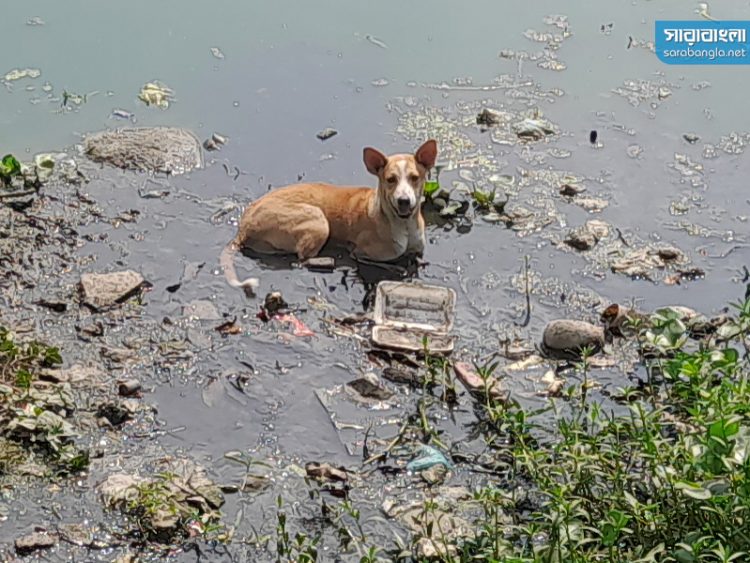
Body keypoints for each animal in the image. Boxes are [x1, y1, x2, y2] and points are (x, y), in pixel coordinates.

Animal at [220, 140, 438, 296]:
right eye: (390, 179)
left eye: (414, 178)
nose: (404, 201)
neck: (403, 224)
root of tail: (243, 228)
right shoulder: (360, 252)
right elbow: (381, 261)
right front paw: (398, 268)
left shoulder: (417, 248)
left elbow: (416, 255)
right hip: (319, 220)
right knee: (302, 259)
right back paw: (327, 260)